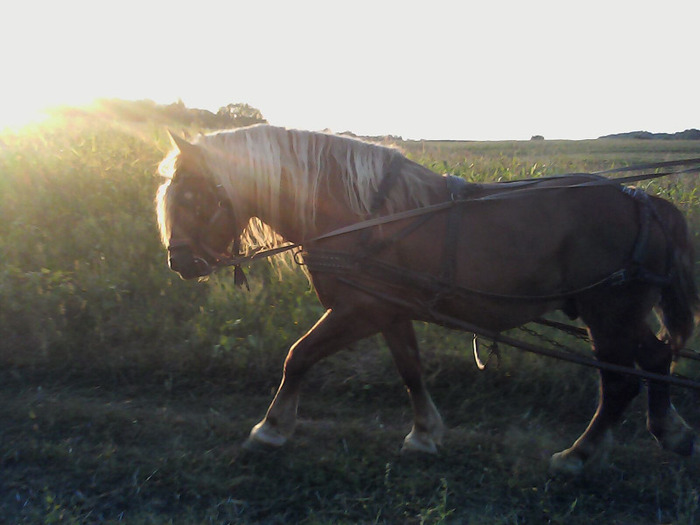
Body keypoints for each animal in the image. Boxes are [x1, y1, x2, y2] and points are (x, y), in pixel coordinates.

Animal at [156, 125, 696, 472]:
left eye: (195, 194)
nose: (180, 263)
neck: (362, 217)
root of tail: (647, 203)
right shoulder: (389, 310)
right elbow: (410, 368)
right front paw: (424, 434)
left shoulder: (359, 309)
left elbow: (299, 356)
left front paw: (270, 429)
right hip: (617, 313)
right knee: (655, 359)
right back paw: (668, 429)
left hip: (608, 313)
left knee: (620, 382)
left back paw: (578, 456)